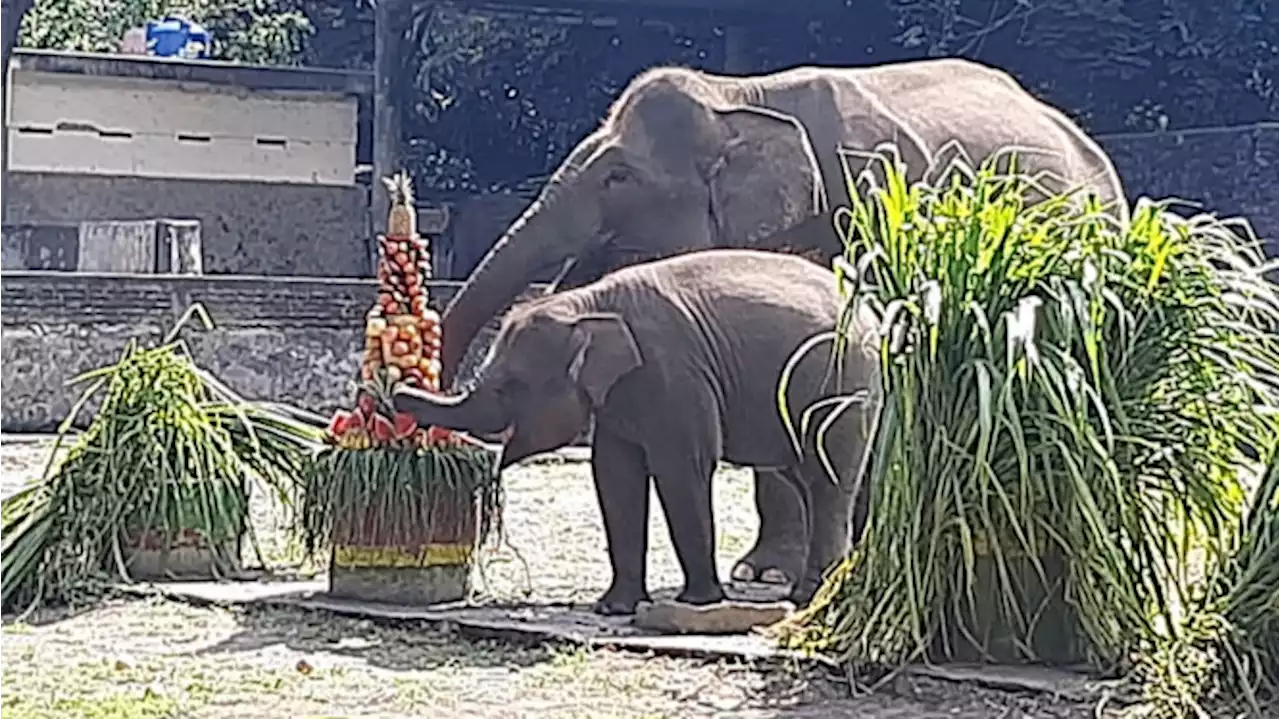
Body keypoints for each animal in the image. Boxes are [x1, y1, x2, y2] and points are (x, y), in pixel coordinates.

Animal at [396, 245, 880, 608]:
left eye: (511, 387)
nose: (396, 391)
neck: (589, 304)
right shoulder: (620, 394)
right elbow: (614, 475)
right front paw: (613, 607)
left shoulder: (674, 373)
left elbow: (682, 468)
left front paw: (698, 604)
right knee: (809, 478)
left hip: (839, 388)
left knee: (828, 477)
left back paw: (808, 597)